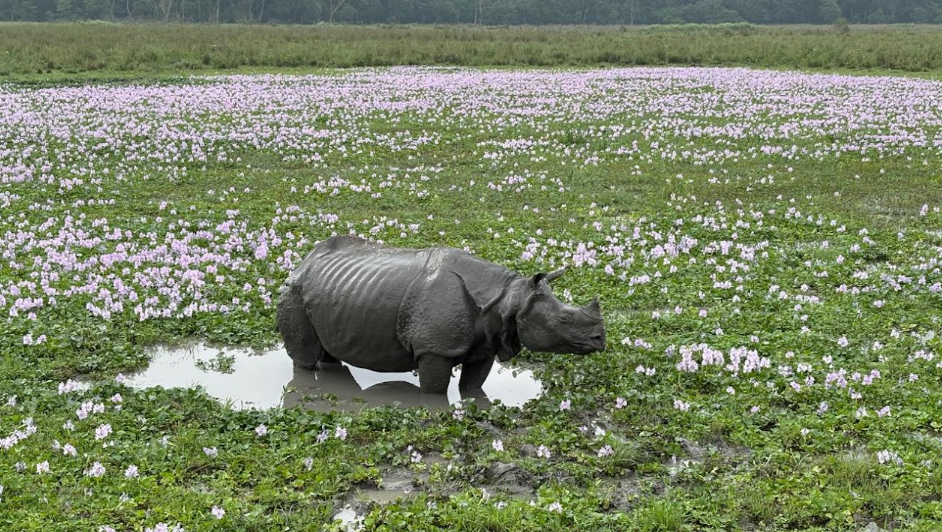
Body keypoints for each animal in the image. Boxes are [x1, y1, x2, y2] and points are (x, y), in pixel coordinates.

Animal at [276, 235, 605, 394]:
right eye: (563, 321)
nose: (601, 339)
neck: (510, 298)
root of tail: (303, 262)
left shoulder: (486, 342)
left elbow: (473, 386)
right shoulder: (434, 348)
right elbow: (434, 390)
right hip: (293, 292)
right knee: (305, 358)